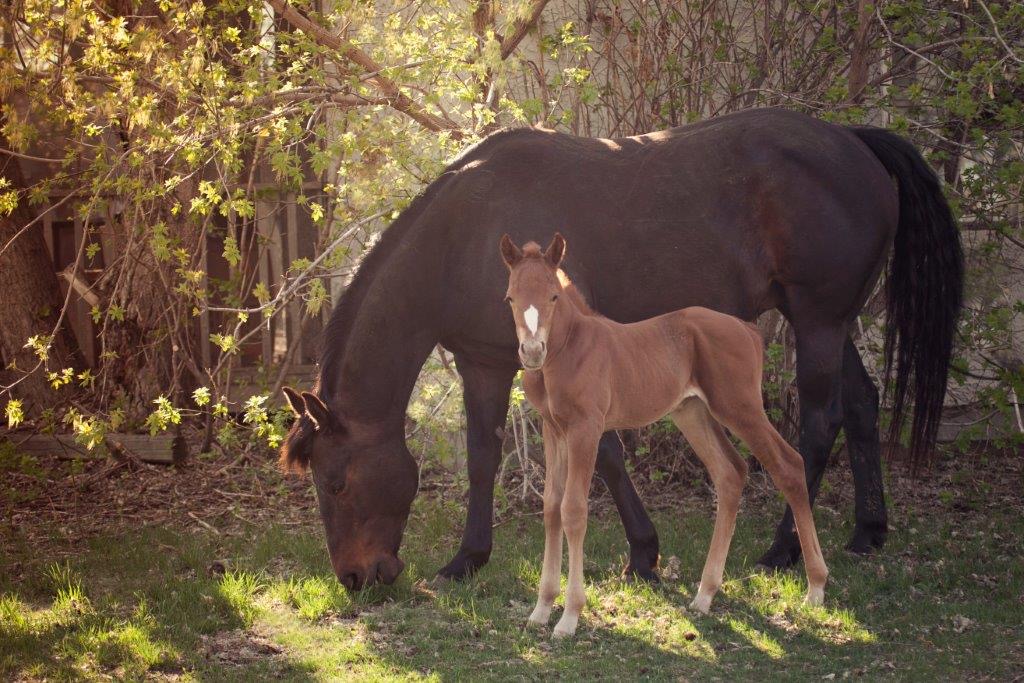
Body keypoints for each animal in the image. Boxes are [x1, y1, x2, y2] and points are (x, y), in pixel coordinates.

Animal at [280, 108, 962, 590]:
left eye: (336, 483)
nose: (355, 577)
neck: (463, 233)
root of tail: (853, 141)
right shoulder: (485, 362)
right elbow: (482, 457)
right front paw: (467, 560)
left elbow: (605, 453)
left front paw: (643, 552)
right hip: (830, 323)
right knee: (864, 406)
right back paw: (867, 532)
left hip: (817, 323)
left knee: (821, 423)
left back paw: (783, 549)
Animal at [502, 233, 828, 637]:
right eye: (511, 297)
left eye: (553, 297)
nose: (532, 351)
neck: (568, 349)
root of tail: (749, 330)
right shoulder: (554, 428)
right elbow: (551, 507)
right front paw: (541, 609)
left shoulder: (585, 429)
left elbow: (573, 510)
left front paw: (569, 617)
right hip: (692, 412)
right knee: (730, 472)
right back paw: (704, 595)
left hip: (741, 408)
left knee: (789, 464)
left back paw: (815, 587)